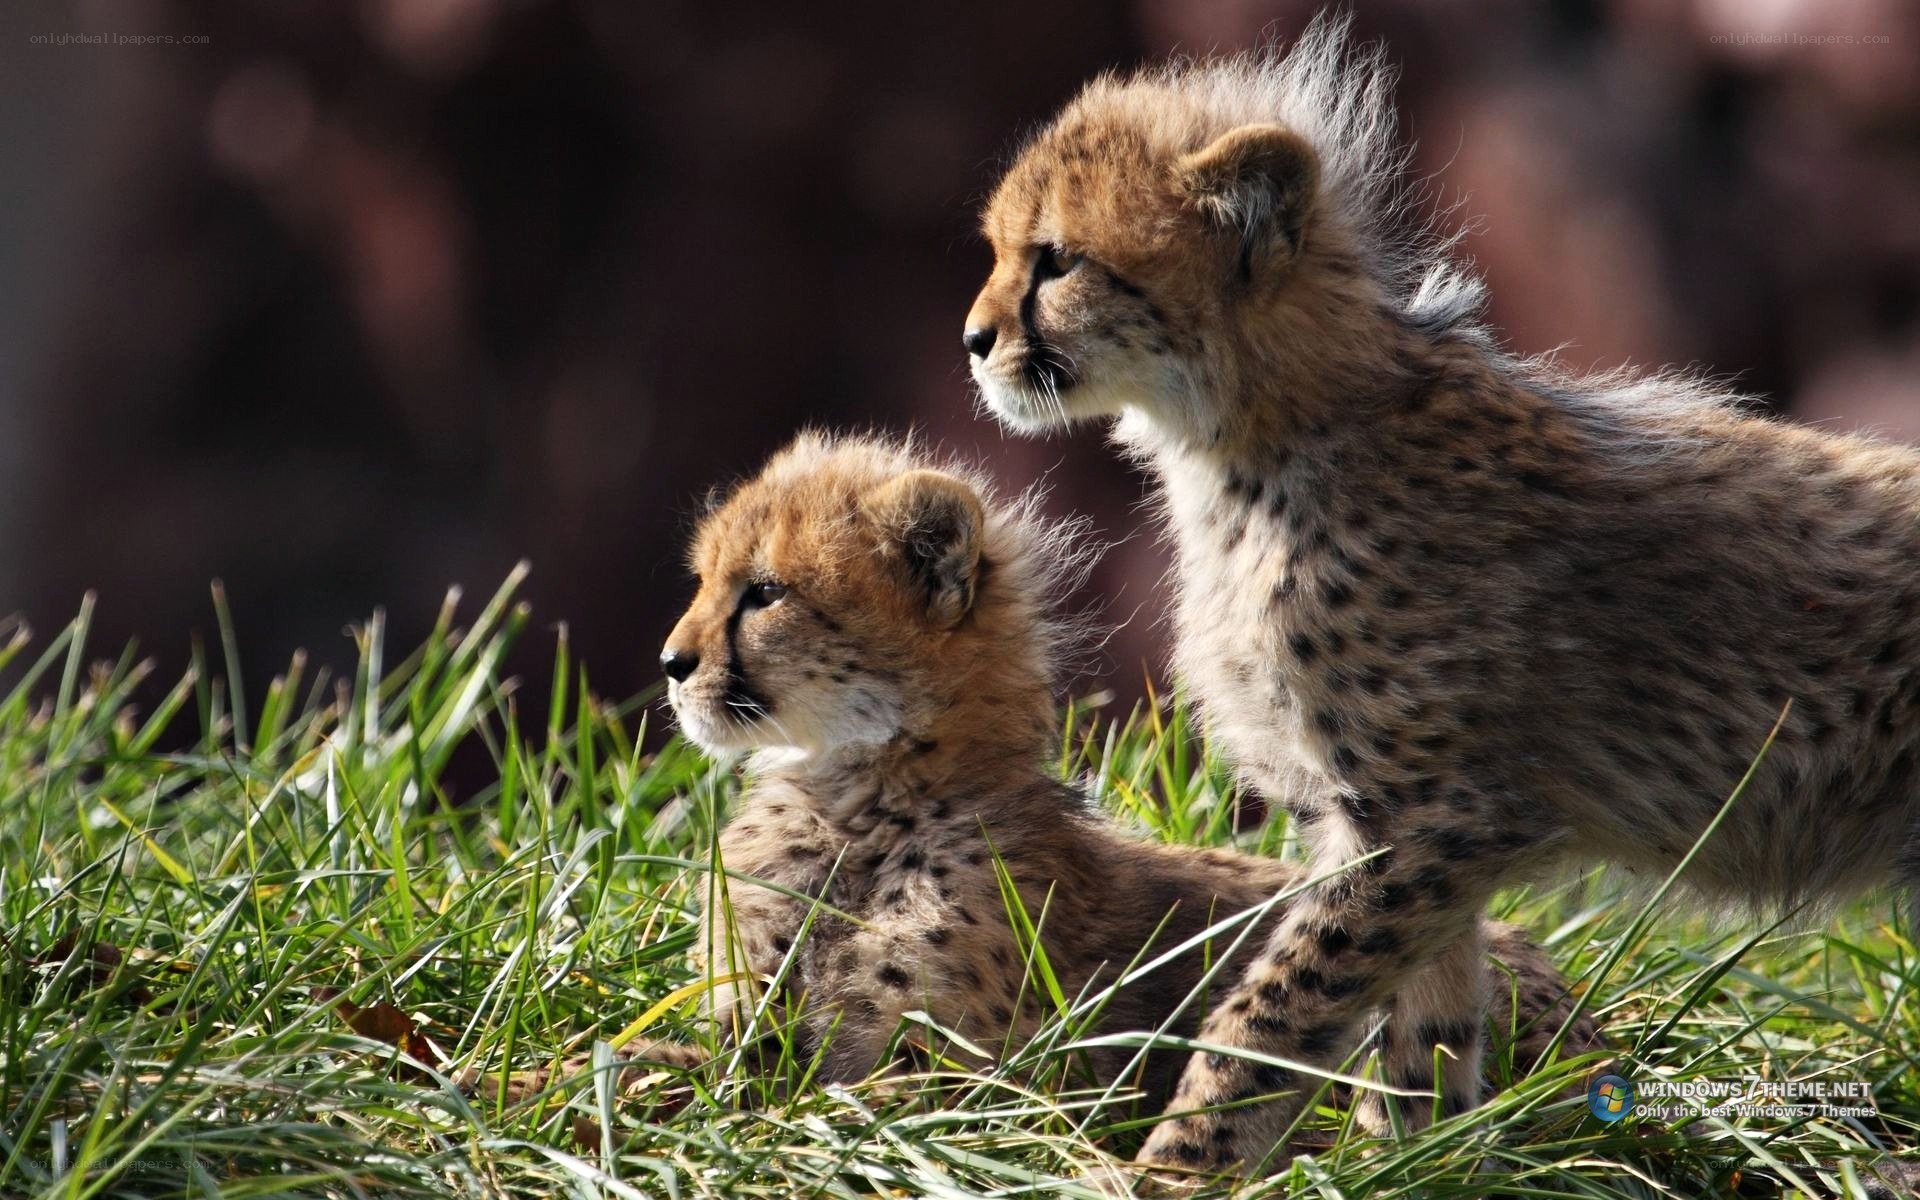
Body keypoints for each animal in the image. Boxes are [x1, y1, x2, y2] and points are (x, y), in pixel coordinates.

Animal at [964, 11, 1920, 1177]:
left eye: (1056, 261)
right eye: (1003, 252)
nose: (975, 341)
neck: (1264, 426)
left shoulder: (1427, 822)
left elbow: (1271, 1013)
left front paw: (1182, 1165)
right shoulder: (1407, 835)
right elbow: (1423, 1025)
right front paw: (1412, 1161)